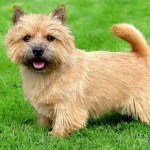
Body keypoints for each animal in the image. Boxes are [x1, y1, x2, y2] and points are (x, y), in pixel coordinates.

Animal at [4, 4, 150, 137]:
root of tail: (141, 55)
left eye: (50, 38)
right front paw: (40, 129)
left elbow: (64, 121)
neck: (51, 74)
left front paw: (55, 135)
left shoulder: (67, 105)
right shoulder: (43, 107)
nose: (38, 50)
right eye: (26, 38)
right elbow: (43, 119)